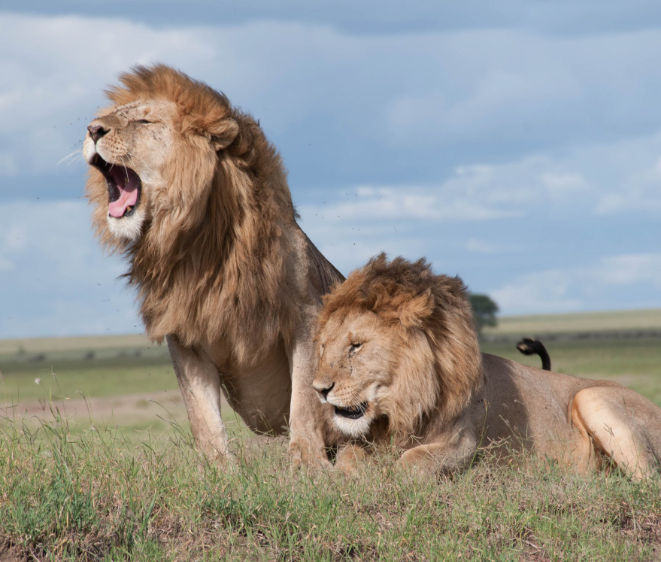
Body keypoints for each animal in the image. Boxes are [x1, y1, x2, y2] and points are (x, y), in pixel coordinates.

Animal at [84, 65, 343, 466]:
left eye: (143, 121)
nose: (92, 129)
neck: (199, 245)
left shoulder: (306, 316)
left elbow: (304, 400)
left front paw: (307, 466)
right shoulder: (184, 333)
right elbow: (202, 416)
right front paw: (219, 471)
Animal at [313, 254, 661, 479]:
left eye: (356, 346)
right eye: (324, 346)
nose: (318, 390)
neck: (403, 405)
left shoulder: (464, 443)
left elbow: (412, 460)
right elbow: (348, 457)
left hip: (591, 397)